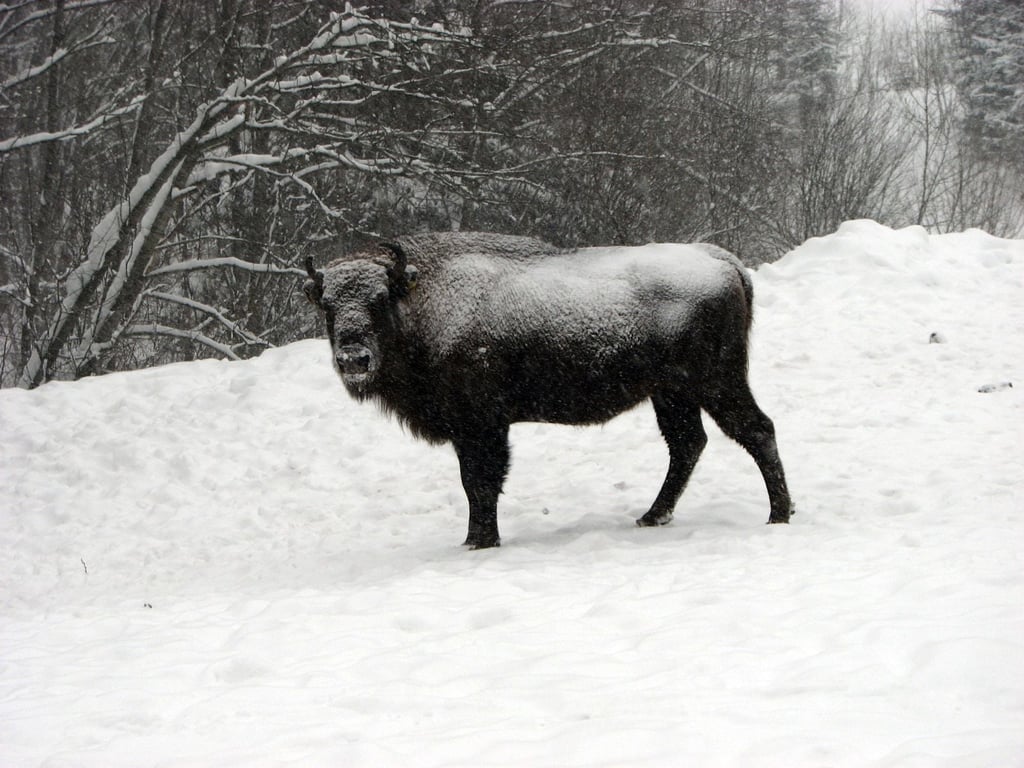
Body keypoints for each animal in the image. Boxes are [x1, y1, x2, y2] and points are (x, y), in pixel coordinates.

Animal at [303, 231, 790, 548]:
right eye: (327, 305)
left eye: (379, 299)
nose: (353, 358)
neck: (422, 298)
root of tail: (722, 260)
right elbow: (477, 482)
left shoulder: (480, 426)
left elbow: (479, 481)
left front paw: (479, 541)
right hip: (672, 394)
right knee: (688, 444)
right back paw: (652, 516)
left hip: (715, 382)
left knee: (756, 430)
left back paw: (778, 515)